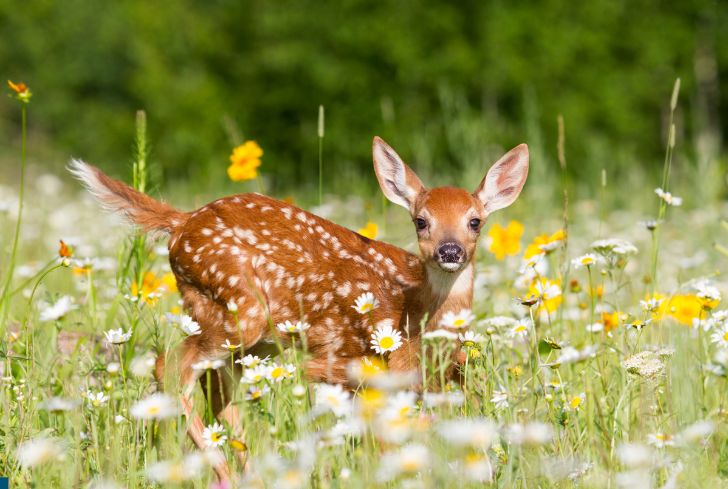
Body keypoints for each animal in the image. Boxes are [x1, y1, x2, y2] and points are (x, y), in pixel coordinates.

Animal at [68, 136, 528, 476]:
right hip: (239, 310)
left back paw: (249, 471)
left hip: (244, 336)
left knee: (215, 386)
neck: (412, 315)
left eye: (475, 221)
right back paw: (224, 470)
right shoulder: (352, 368)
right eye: (421, 221)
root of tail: (181, 223)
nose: (450, 251)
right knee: (171, 366)